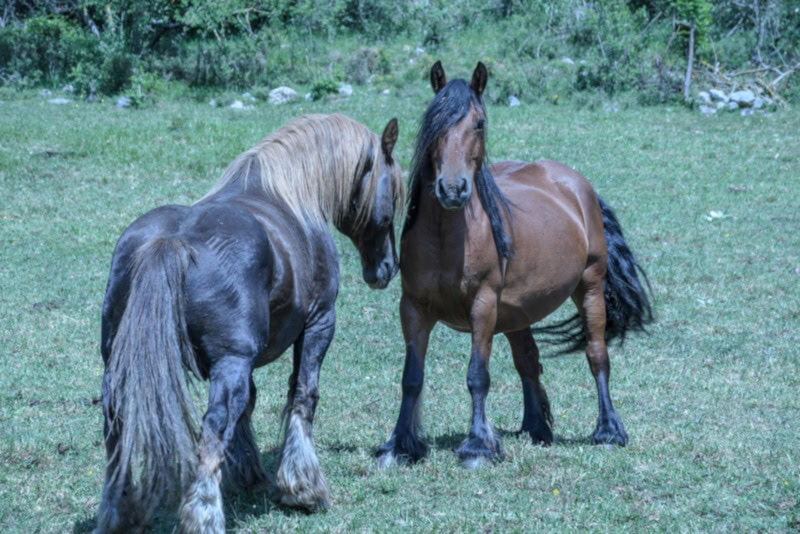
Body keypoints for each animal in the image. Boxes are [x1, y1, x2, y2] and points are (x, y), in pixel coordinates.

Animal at [94, 114, 404, 533]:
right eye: (394, 192)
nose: (387, 268)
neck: (291, 194)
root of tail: (173, 241)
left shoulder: (242, 360)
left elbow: (250, 405)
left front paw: (249, 474)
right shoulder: (319, 323)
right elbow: (302, 396)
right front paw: (303, 489)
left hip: (121, 361)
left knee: (117, 423)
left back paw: (117, 513)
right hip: (233, 361)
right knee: (213, 427)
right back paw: (205, 515)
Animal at [376, 61, 652, 469]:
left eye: (479, 123)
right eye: (434, 121)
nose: (453, 189)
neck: (447, 238)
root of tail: (575, 183)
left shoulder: (483, 305)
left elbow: (478, 375)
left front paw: (478, 447)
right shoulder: (413, 308)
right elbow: (411, 377)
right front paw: (399, 445)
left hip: (589, 286)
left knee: (596, 354)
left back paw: (608, 431)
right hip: (518, 310)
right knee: (528, 360)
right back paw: (536, 427)